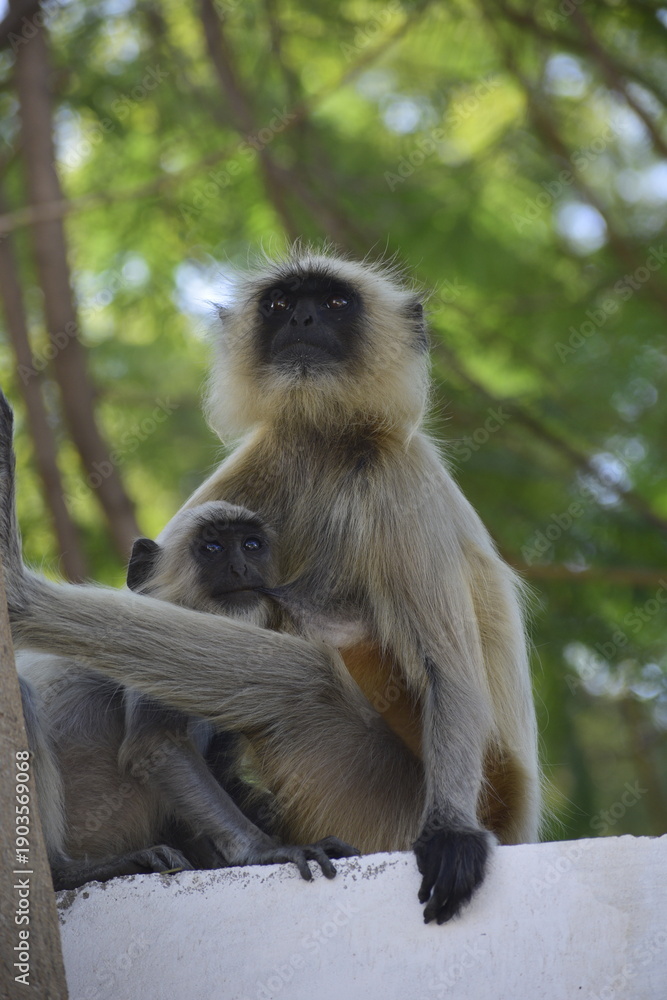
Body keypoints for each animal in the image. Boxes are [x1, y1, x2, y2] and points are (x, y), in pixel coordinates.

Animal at [14, 501, 359, 890]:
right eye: (212, 548)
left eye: (251, 545)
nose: (240, 567)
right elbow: (155, 743)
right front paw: (267, 850)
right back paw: (67, 871)